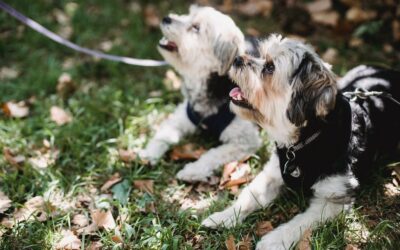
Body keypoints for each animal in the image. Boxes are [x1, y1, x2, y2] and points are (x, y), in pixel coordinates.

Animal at [139, 5, 260, 182]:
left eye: (196, 27)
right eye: (188, 14)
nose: (166, 18)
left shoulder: (245, 140)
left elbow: (213, 154)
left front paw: (193, 170)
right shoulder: (182, 117)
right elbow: (164, 135)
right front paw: (150, 153)